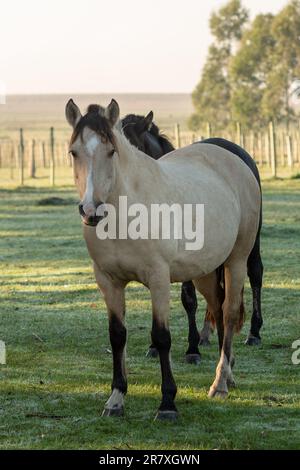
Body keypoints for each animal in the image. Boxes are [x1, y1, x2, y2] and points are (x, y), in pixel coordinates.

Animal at [120, 112, 264, 362]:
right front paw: (155, 345)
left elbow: (188, 298)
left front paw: (192, 348)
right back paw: (207, 332)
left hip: (251, 240)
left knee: (255, 272)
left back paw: (253, 332)